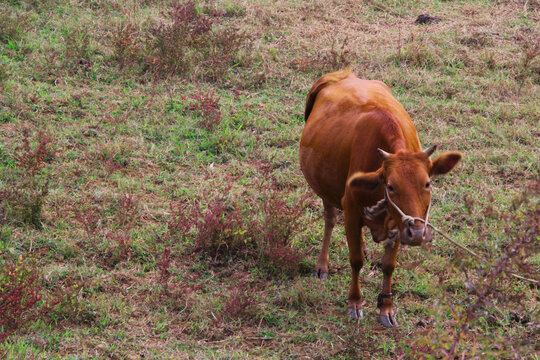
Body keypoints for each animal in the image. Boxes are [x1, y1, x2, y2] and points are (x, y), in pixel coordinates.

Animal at [298, 69, 462, 328]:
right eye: (391, 186)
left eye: (427, 183)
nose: (417, 233)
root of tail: (343, 74)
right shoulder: (351, 208)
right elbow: (355, 260)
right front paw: (355, 303)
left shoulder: (398, 223)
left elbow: (388, 265)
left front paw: (386, 308)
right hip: (327, 189)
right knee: (330, 220)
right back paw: (322, 265)